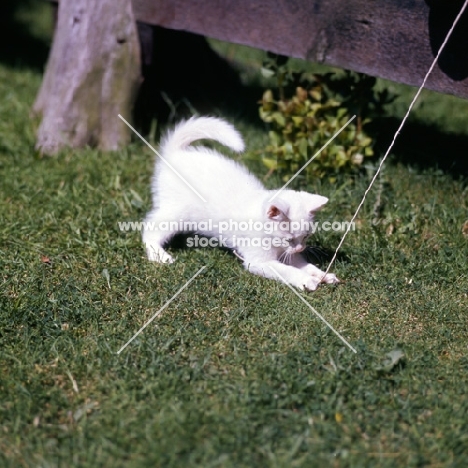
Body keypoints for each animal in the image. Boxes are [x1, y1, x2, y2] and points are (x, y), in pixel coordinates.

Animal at [141, 117, 338, 290]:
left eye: (306, 236)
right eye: (288, 239)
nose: (300, 248)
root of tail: (175, 153)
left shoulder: (288, 254)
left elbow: (305, 265)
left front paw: (322, 275)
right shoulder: (258, 261)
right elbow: (286, 270)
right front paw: (306, 280)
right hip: (177, 212)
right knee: (149, 229)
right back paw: (159, 255)